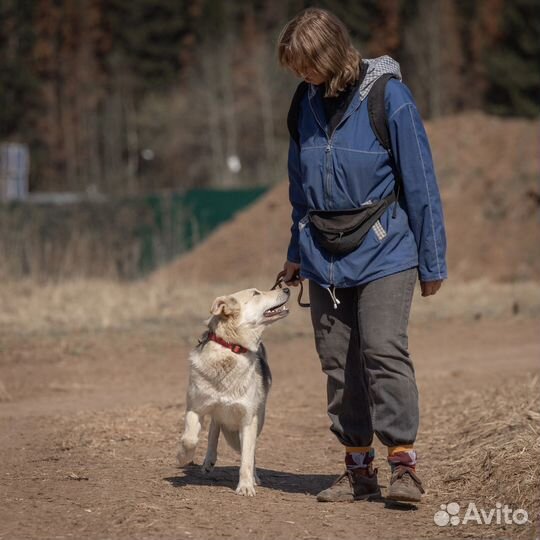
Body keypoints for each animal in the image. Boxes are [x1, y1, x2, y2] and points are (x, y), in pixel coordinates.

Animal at [177, 286, 288, 498]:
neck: (231, 349)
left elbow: (246, 457)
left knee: (248, 449)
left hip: (259, 417)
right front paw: (182, 457)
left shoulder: (248, 419)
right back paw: (208, 460)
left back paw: (253, 477)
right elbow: (189, 439)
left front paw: (246, 486)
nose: (286, 288)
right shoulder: (195, 408)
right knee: (214, 428)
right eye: (256, 293)